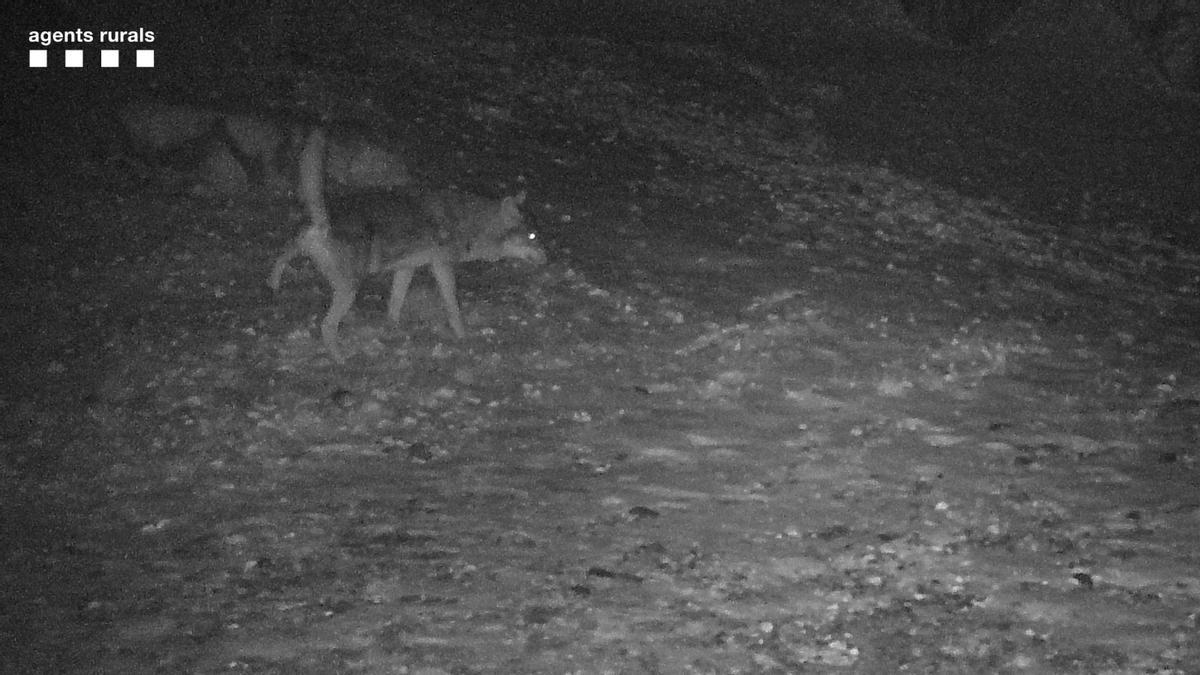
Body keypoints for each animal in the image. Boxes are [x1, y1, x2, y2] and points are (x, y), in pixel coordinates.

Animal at [267, 127, 546, 362]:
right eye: (533, 237)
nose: (548, 258)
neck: (469, 222)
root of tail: (323, 224)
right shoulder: (441, 266)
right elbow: (452, 306)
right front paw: (463, 336)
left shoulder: (406, 268)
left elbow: (395, 303)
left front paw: (393, 328)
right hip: (350, 289)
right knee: (326, 326)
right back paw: (340, 359)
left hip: (306, 251)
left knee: (282, 256)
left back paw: (273, 284)